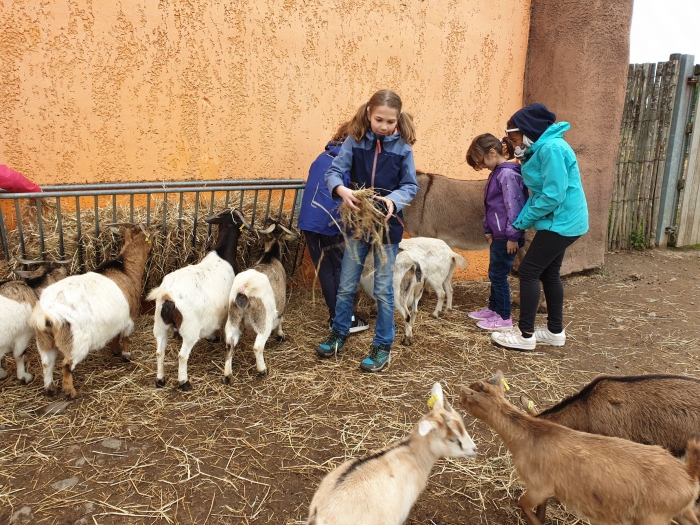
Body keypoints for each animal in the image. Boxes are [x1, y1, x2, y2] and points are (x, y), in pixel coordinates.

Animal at [146, 208, 250, 388]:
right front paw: (213, 338)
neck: (223, 254)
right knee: (182, 355)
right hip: (190, 329)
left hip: (160, 324)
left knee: (159, 352)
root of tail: (168, 296)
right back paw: (184, 382)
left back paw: (160, 379)